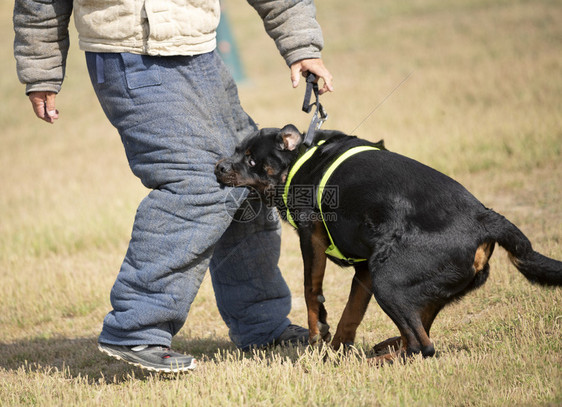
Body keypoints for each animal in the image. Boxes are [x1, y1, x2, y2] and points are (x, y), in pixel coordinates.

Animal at [214, 125, 560, 364]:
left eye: (251, 159)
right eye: (236, 150)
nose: (218, 167)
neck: (302, 159)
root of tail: (485, 217)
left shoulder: (311, 235)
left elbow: (311, 290)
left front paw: (317, 334)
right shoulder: (365, 267)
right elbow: (350, 314)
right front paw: (335, 350)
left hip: (389, 279)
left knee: (423, 346)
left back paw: (375, 360)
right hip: (406, 280)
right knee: (419, 331)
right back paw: (388, 347)